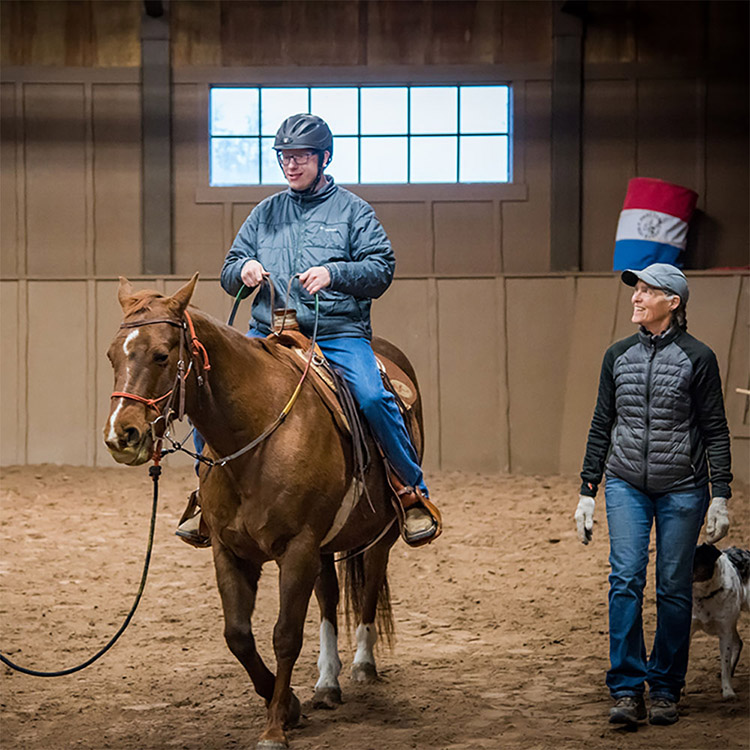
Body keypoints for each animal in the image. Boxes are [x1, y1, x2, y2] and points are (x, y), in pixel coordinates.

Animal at [103, 278, 426, 750]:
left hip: (377, 533)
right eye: (112, 355)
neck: (257, 438)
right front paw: (289, 705)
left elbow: (285, 636)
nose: (120, 435)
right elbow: (238, 635)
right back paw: (327, 683)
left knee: (369, 584)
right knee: (329, 597)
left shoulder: (298, 548)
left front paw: (274, 727)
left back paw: (363, 665)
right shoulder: (230, 549)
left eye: (162, 355)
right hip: (323, 548)